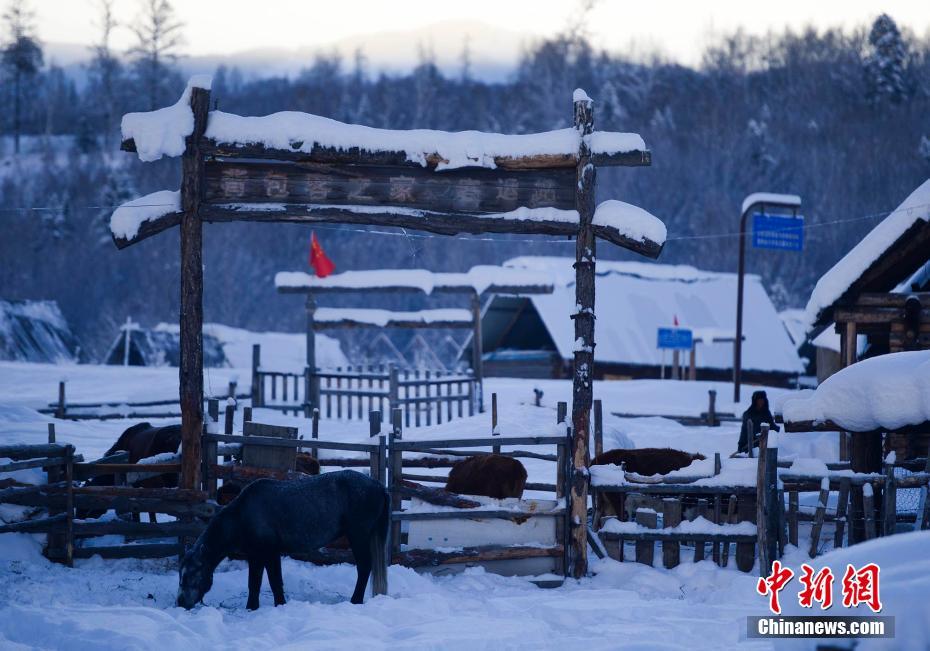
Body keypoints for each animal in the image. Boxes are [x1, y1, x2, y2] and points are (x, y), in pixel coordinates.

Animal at [177, 470, 389, 611]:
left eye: (191, 574)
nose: (180, 602)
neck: (242, 516)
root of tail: (378, 485)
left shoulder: (268, 553)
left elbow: (271, 582)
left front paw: (274, 605)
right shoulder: (259, 555)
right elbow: (259, 583)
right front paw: (257, 607)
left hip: (358, 536)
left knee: (364, 567)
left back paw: (355, 600)